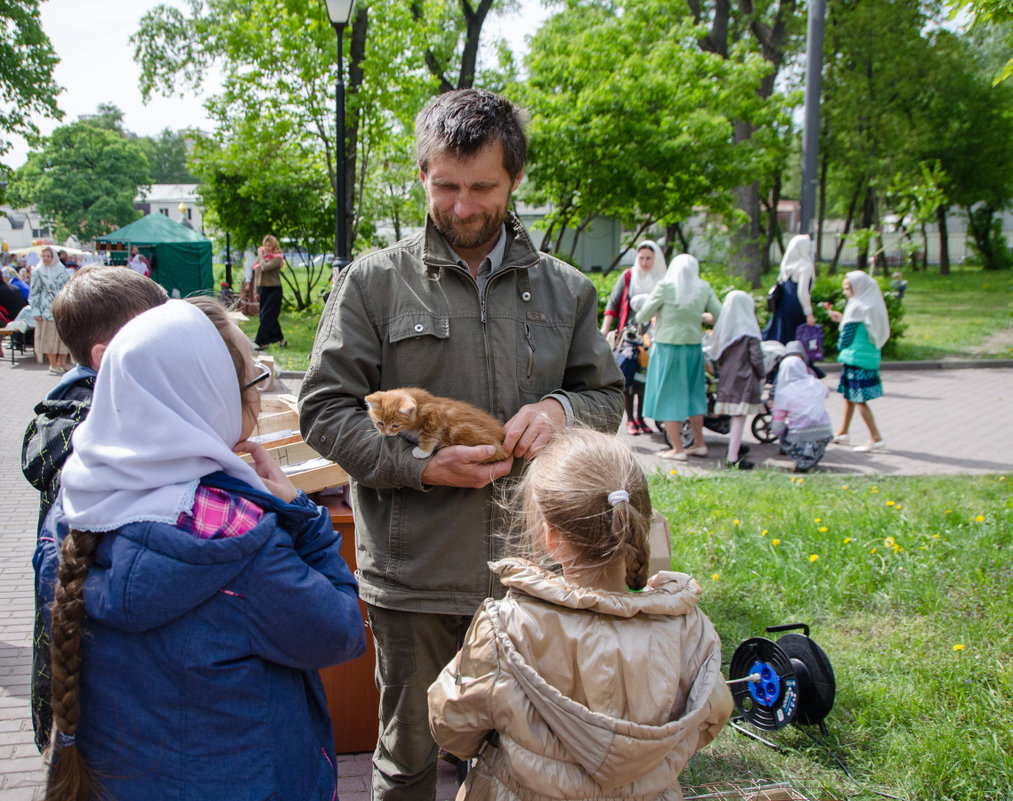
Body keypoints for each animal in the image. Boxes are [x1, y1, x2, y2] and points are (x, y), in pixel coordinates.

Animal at [364, 388, 510, 463]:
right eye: (380, 423)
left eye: (395, 425)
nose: (386, 433)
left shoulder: (435, 413)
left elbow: (429, 434)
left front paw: (423, 451)